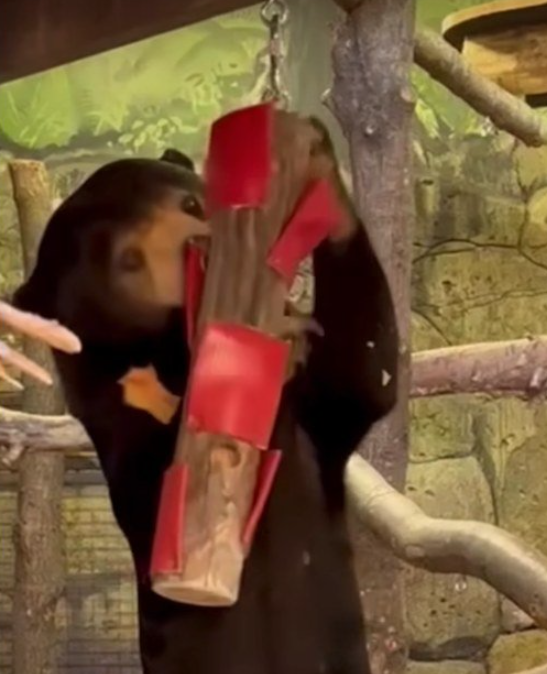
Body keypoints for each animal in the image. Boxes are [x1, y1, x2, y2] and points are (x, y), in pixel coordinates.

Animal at [13, 121, 398, 674]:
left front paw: (319, 166)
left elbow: (364, 378)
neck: (165, 349)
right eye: (128, 261)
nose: (199, 241)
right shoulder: (118, 425)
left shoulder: (310, 420)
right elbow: (162, 489)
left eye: (192, 203)